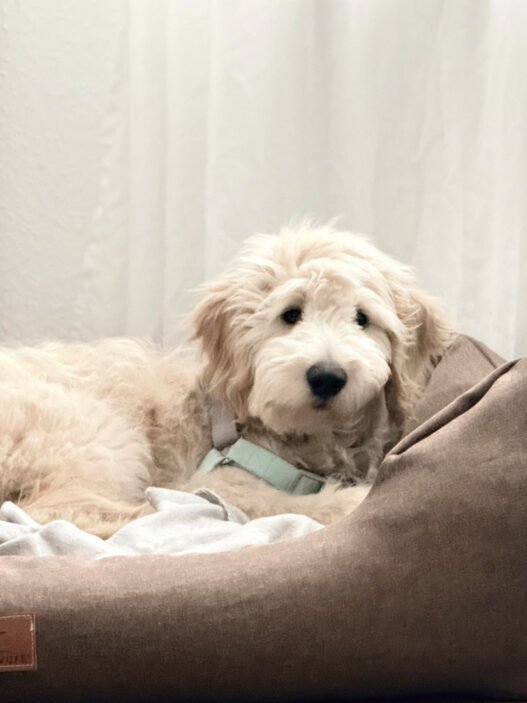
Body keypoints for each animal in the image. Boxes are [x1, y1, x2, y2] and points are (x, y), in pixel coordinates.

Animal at [1, 223, 454, 536]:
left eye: (363, 319)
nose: (327, 377)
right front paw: (357, 499)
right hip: (98, 433)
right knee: (49, 511)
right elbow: (287, 504)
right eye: (290, 314)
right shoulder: (225, 479)